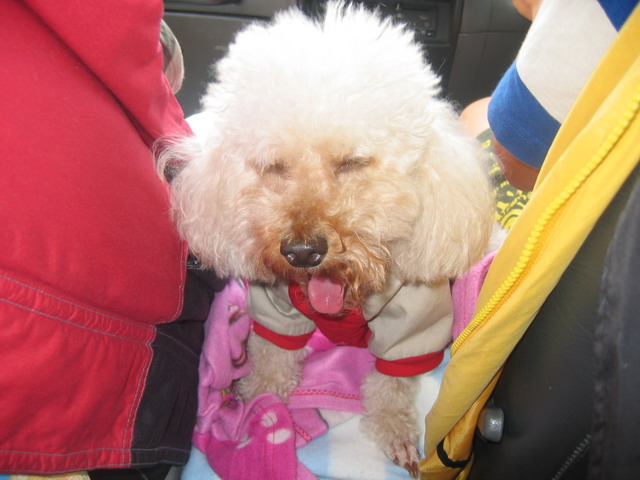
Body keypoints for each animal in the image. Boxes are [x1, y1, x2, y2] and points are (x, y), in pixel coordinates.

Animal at [161, 1, 493, 476]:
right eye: (273, 166)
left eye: (352, 162)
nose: (302, 252)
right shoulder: (275, 307)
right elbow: (272, 357)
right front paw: (257, 404)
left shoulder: (414, 320)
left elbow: (392, 384)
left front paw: (394, 429)